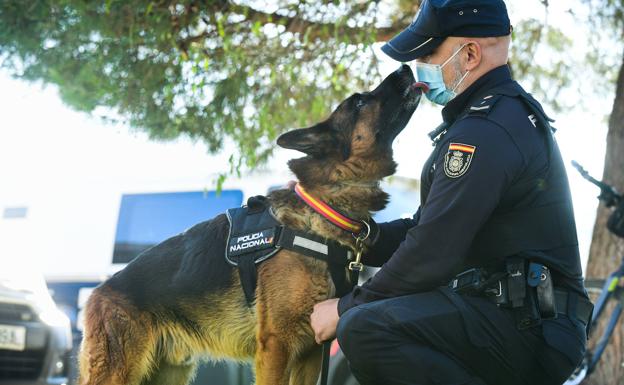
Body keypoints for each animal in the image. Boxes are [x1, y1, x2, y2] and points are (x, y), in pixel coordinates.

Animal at [75, 63, 422, 384]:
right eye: (360, 102)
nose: (406, 67)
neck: (322, 209)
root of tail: (99, 291)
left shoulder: (311, 352)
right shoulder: (276, 345)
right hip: (119, 372)